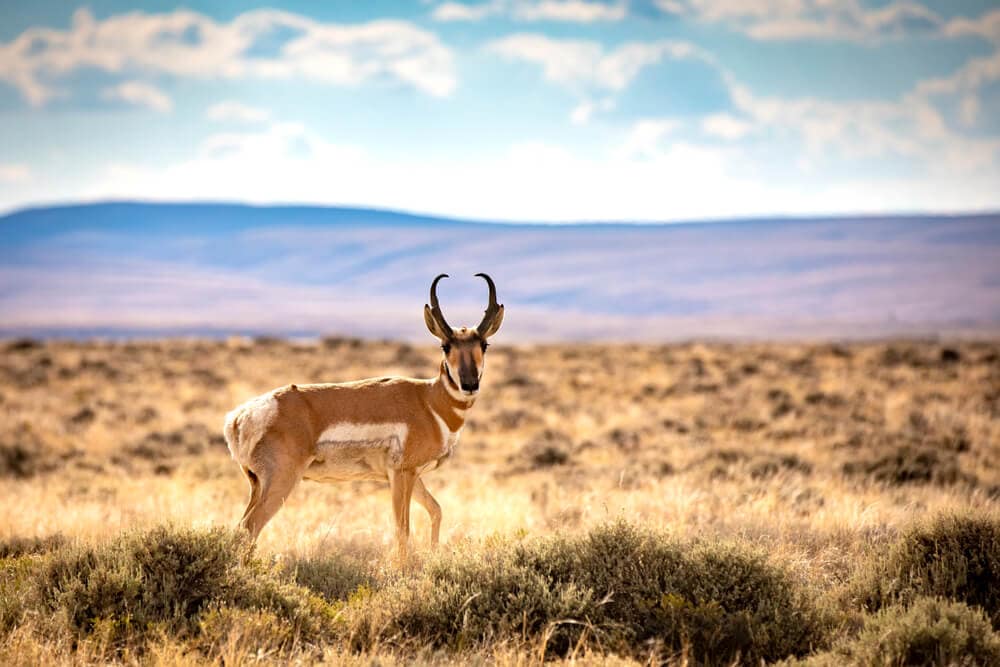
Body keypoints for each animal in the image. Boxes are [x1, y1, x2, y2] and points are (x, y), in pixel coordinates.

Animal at [228, 274, 508, 556]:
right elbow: (402, 530)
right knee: (250, 526)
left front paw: (433, 555)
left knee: (241, 526)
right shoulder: (402, 474)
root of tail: (239, 417)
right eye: (445, 345)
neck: (429, 401)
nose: (470, 384)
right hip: (282, 481)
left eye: (484, 344)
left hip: (257, 485)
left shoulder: (413, 476)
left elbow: (436, 511)